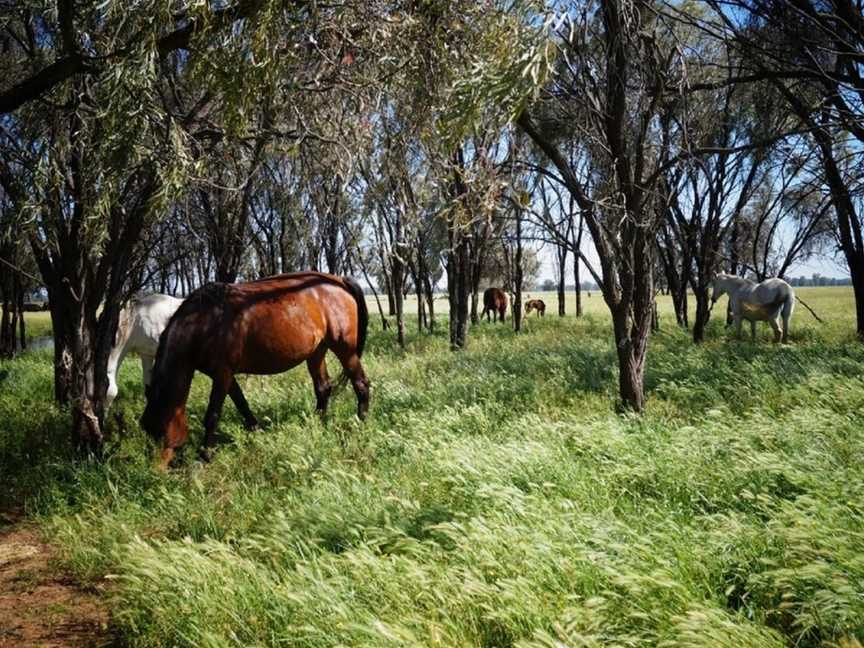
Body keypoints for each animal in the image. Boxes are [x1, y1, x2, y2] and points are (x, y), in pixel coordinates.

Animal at [140, 270, 370, 468]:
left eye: (161, 431)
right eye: (146, 429)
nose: (155, 472)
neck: (206, 321)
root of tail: (339, 281)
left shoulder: (222, 374)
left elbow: (212, 415)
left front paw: (204, 456)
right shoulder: (225, 375)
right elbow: (242, 403)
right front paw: (256, 432)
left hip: (345, 349)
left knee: (361, 384)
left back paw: (360, 424)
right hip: (316, 351)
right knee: (323, 388)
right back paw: (317, 423)